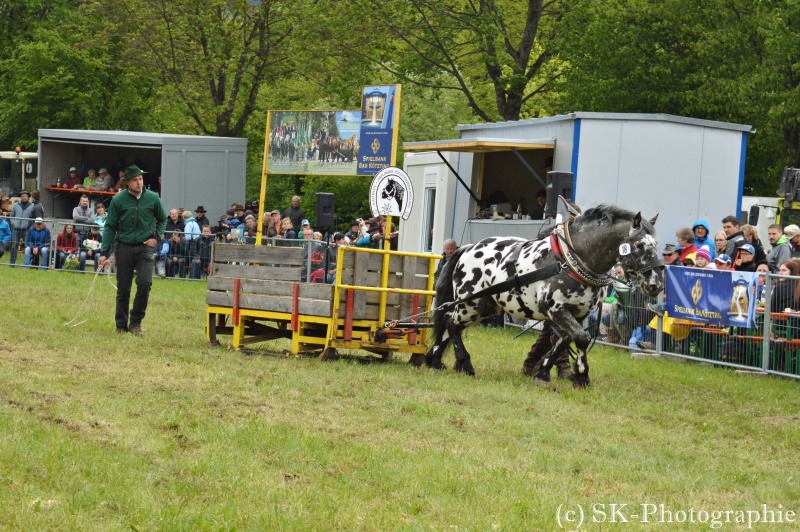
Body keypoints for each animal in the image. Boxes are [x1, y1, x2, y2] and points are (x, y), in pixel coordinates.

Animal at [416, 204, 664, 386]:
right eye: (640, 245)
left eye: (657, 244)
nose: (656, 283)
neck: (569, 260)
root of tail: (466, 248)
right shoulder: (555, 308)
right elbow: (580, 338)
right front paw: (581, 375)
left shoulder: (578, 313)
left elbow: (566, 339)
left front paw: (543, 371)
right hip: (470, 304)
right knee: (450, 322)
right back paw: (463, 364)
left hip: (484, 307)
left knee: (451, 327)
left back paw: (436, 360)